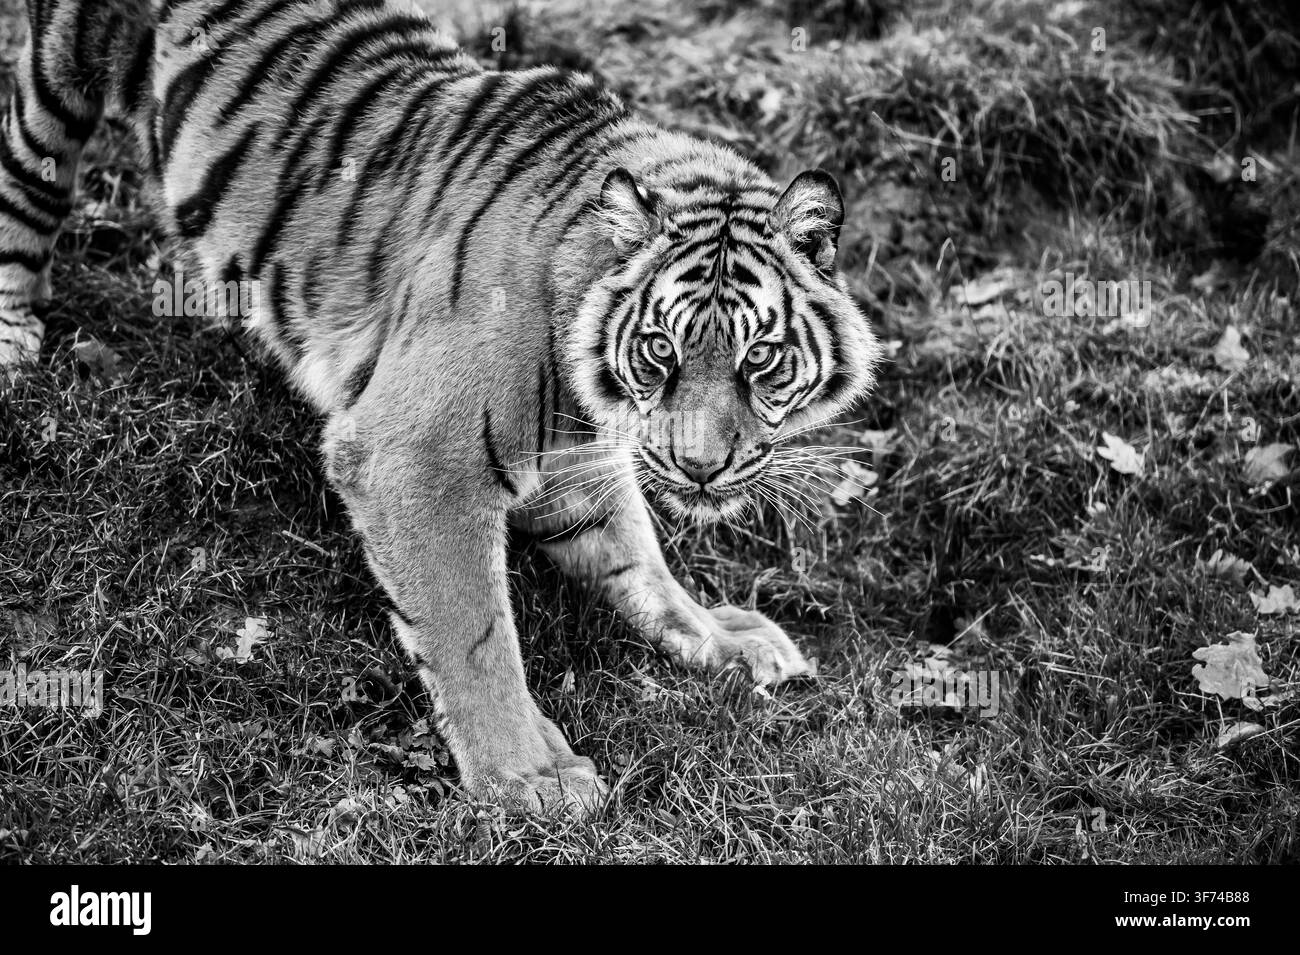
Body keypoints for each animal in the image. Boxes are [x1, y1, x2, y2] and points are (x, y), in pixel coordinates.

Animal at [0, 0, 882, 814]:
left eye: (758, 357)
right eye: (660, 349)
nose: (700, 468)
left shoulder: (575, 453)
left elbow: (635, 553)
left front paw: (720, 637)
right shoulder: (416, 457)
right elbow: (474, 631)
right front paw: (527, 777)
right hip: (61, 71)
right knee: (27, 173)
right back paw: (13, 336)